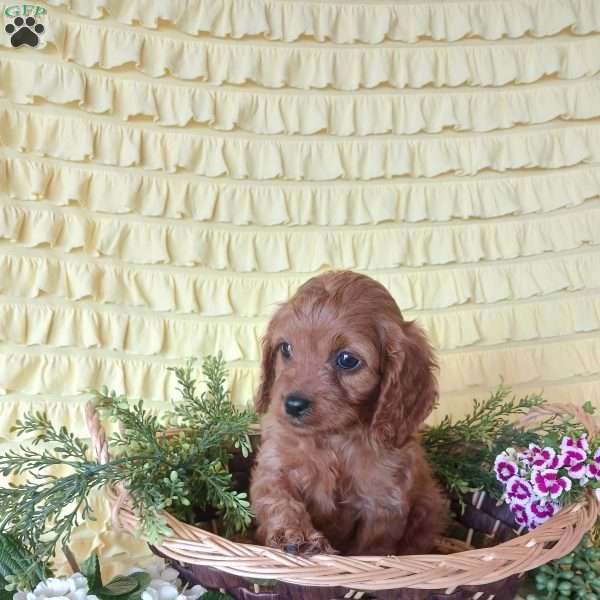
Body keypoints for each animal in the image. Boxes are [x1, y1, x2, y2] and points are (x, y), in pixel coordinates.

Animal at [248, 270, 446, 556]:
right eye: (286, 348)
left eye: (347, 360)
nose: (293, 405)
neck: (334, 437)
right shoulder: (275, 465)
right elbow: (280, 500)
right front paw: (296, 535)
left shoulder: (383, 501)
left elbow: (372, 547)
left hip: (429, 506)